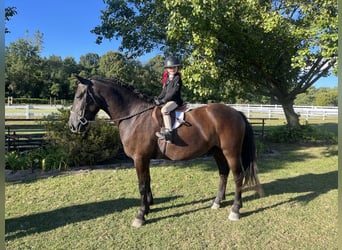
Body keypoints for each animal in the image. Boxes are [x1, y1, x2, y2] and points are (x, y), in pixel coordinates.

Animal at [68, 75, 264, 228]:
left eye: (79, 96)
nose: (73, 126)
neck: (134, 116)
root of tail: (236, 112)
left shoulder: (139, 158)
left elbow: (141, 185)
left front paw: (140, 216)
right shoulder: (144, 159)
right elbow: (147, 182)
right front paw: (148, 208)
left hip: (231, 152)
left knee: (238, 176)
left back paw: (235, 210)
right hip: (217, 151)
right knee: (223, 173)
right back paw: (217, 202)